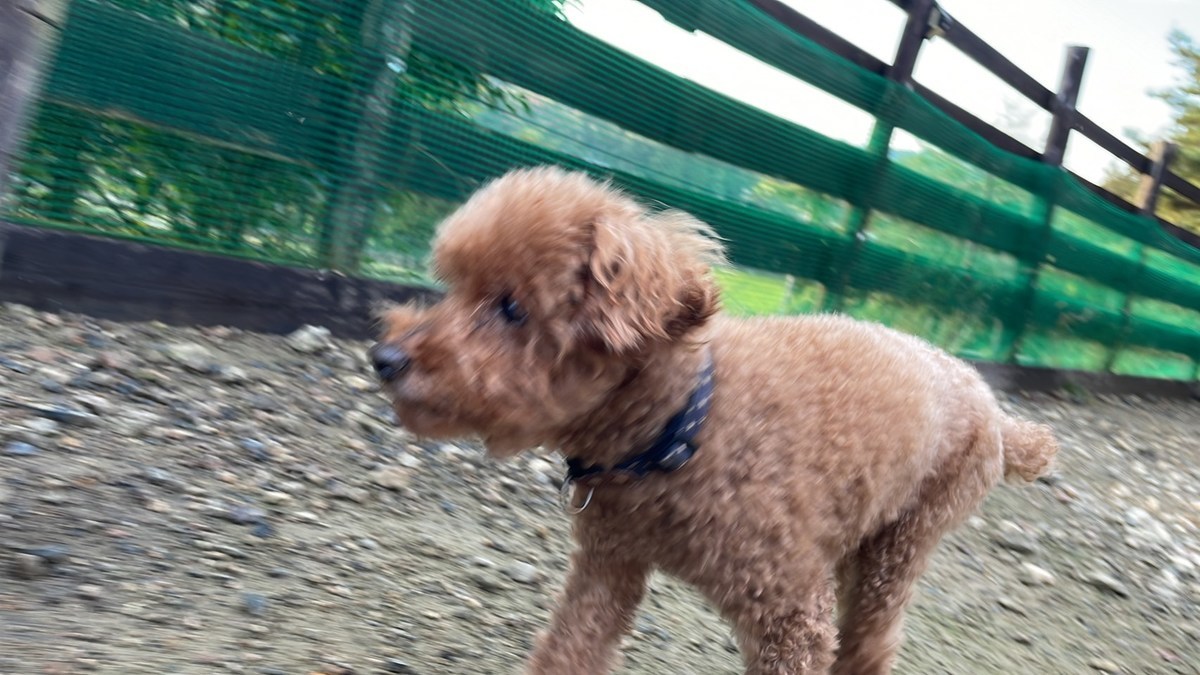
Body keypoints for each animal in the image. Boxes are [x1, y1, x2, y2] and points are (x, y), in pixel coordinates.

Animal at [370, 166, 1058, 674]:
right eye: (452, 285)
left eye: (512, 308)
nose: (385, 358)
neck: (679, 431)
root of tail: (991, 403)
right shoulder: (607, 568)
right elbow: (569, 648)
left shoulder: (789, 617)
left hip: (905, 541)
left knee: (873, 639)